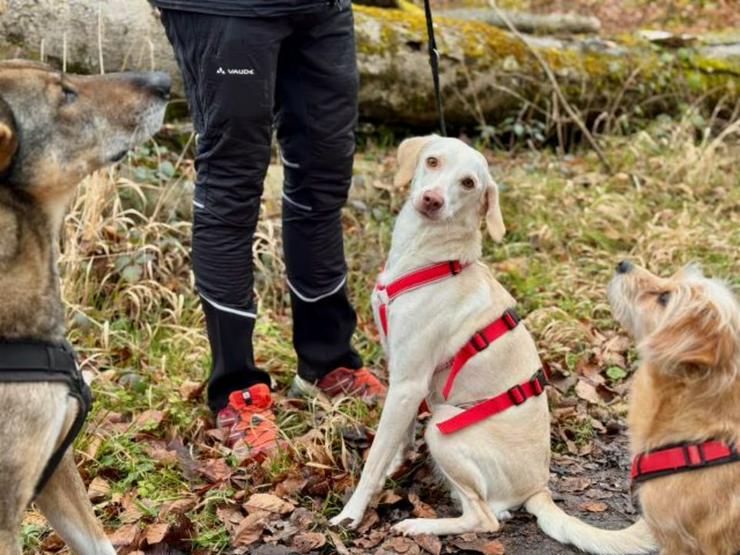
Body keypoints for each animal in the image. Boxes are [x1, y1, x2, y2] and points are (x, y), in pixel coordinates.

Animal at [332, 136, 656, 555]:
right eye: (433, 161)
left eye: (468, 183)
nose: (432, 200)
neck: (431, 257)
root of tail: (539, 488)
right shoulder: (400, 372)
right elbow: (396, 437)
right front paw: (396, 464)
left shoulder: (409, 383)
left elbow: (373, 460)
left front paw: (351, 514)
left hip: (443, 426)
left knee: (485, 518)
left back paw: (419, 525)